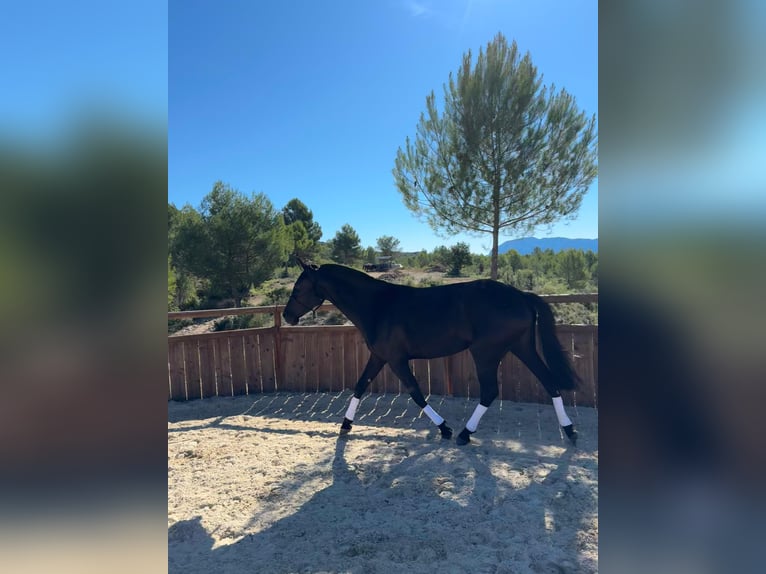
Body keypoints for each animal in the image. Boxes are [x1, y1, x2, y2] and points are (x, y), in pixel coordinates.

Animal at [282, 259, 580, 445]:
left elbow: (415, 392)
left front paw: (444, 427)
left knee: (490, 392)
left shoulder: (396, 360)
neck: (378, 306)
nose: (287, 316)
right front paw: (345, 424)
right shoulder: (379, 357)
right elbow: (359, 386)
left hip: (486, 353)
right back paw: (570, 430)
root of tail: (521, 296)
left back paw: (464, 434)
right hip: (522, 347)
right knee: (550, 382)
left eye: (298, 287)